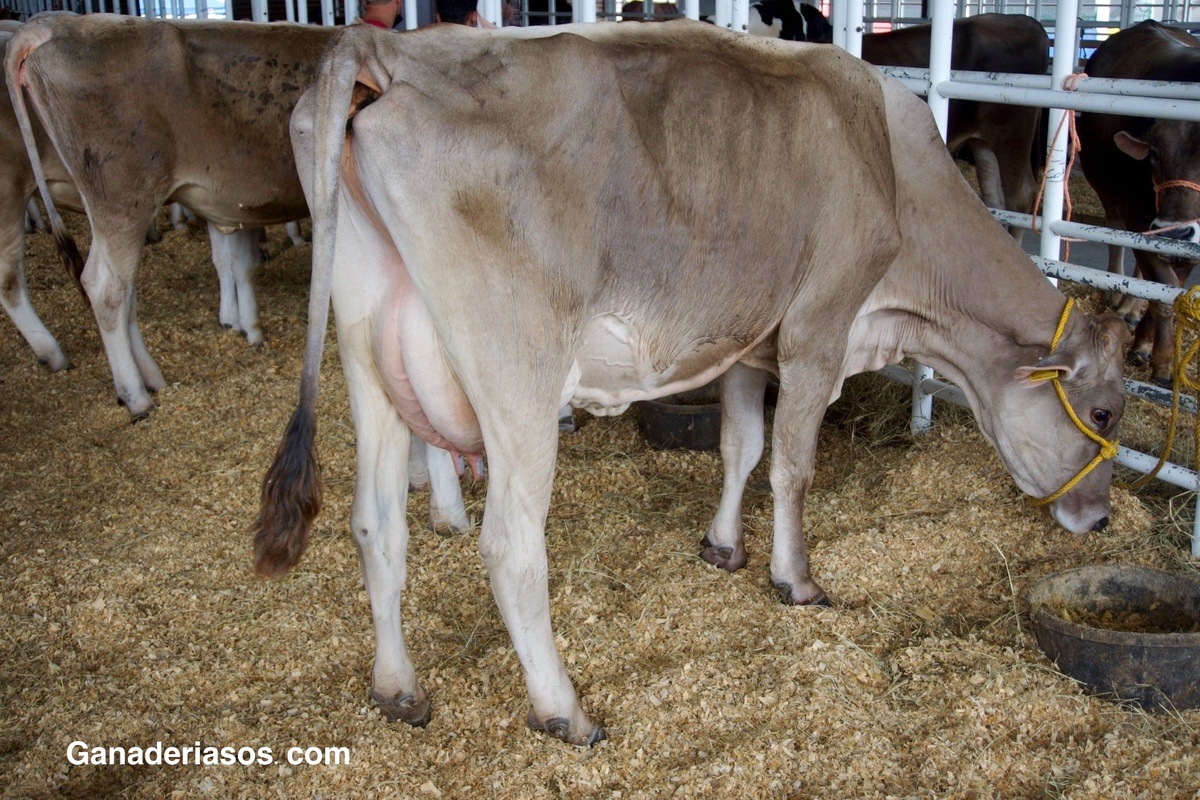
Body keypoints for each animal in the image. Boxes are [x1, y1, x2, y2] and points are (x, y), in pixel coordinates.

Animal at [1075, 21, 1200, 388]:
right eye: (1154, 153)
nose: (1174, 232)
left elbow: (1170, 287)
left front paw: (1146, 344)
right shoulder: (1139, 217)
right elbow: (1162, 291)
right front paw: (1163, 362)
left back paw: (1131, 310)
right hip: (1105, 186)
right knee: (1115, 231)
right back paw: (1114, 294)